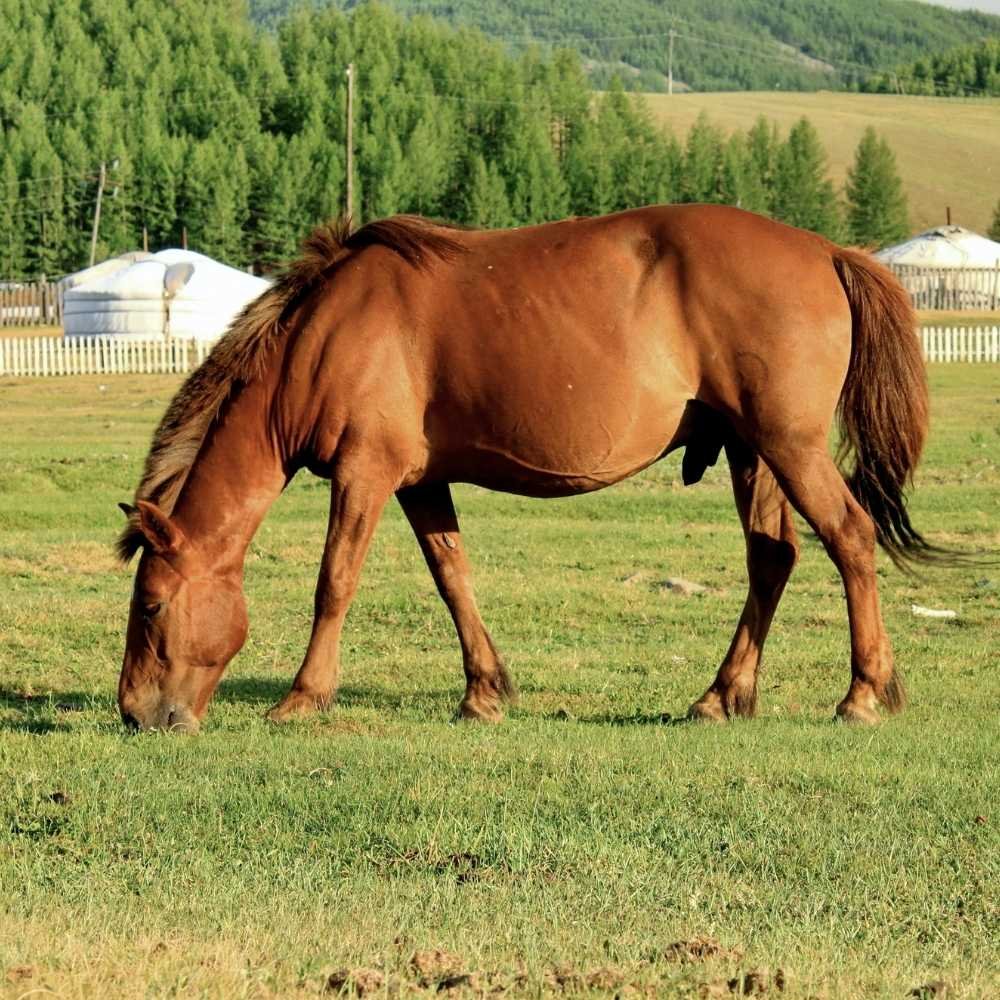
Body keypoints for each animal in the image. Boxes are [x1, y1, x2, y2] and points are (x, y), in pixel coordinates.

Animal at [115, 204, 931, 733]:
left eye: (150, 607)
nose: (133, 713)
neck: (324, 335)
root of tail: (827, 251)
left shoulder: (363, 476)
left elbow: (334, 583)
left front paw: (303, 696)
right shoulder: (419, 483)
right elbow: (452, 577)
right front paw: (483, 691)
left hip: (789, 447)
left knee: (850, 538)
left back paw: (862, 694)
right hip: (750, 452)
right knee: (773, 558)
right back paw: (721, 696)